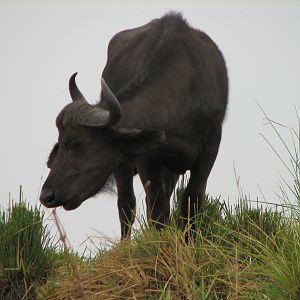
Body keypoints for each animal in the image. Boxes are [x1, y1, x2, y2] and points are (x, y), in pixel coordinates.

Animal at [39, 12, 227, 239]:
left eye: (76, 143)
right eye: (61, 142)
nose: (47, 195)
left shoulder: (212, 144)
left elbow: (192, 200)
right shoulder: (147, 158)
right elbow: (156, 209)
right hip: (124, 165)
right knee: (127, 204)